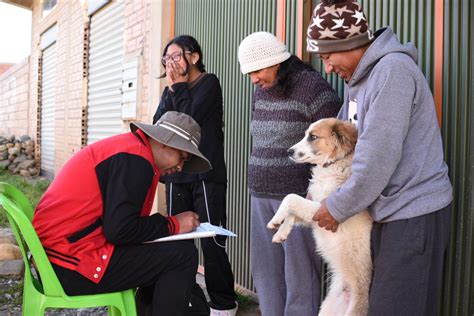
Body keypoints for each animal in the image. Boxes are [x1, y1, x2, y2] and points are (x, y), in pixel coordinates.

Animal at [268, 118, 372, 316]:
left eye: (313, 137)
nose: (289, 151)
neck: (334, 164)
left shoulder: (323, 210)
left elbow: (290, 198)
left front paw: (275, 220)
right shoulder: (314, 212)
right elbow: (292, 211)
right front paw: (281, 233)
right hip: (326, 309)